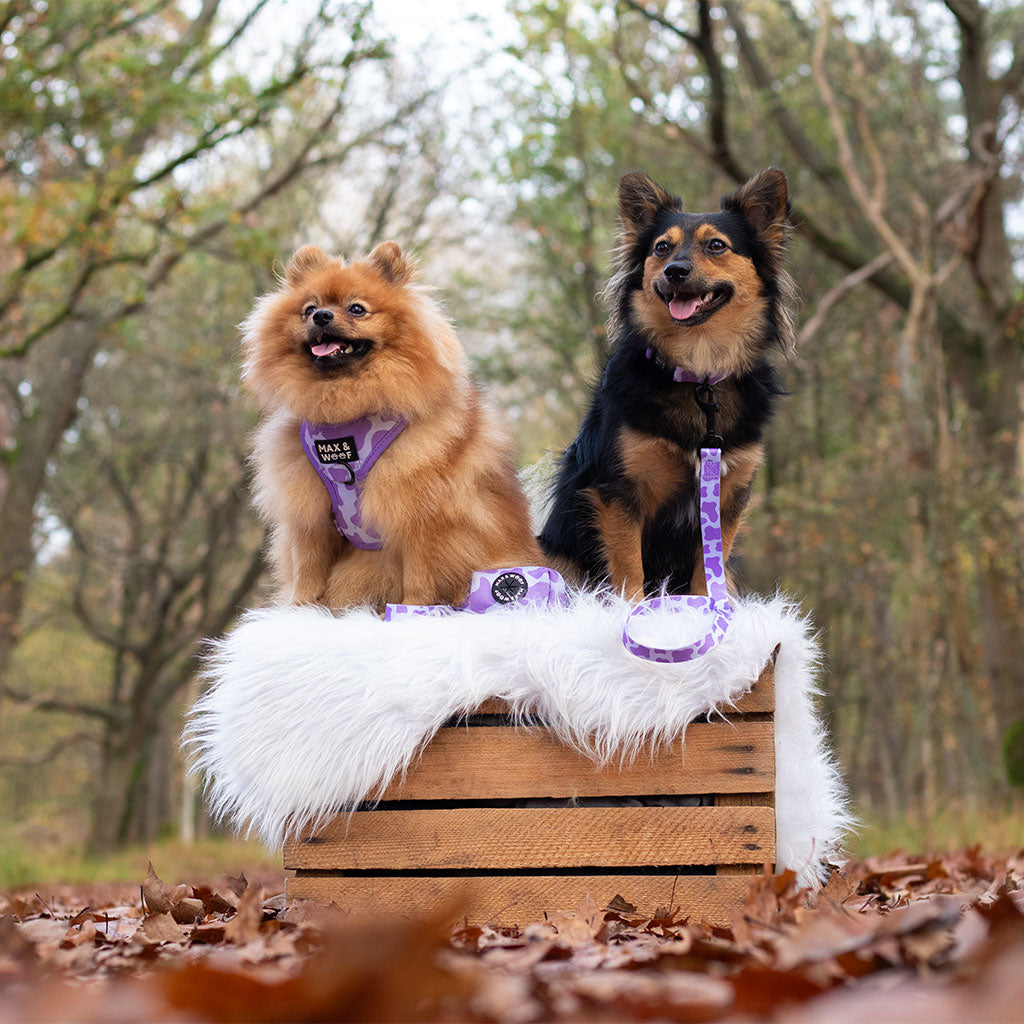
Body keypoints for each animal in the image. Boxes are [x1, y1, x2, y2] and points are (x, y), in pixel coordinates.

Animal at [242, 239, 540, 606]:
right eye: (309, 309)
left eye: (357, 309)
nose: (322, 316)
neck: (345, 412)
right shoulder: (310, 511)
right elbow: (308, 569)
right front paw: (300, 610)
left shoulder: (418, 516)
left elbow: (418, 577)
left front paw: (413, 610)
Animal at [540, 168, 794, 598]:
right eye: (661, 247)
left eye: (716, 245)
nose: (674, 270)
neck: (698, 371)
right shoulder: (621, 493)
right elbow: (630, 570)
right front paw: (634, 609)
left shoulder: (727, 497)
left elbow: (708, 574)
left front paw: (707, 610)